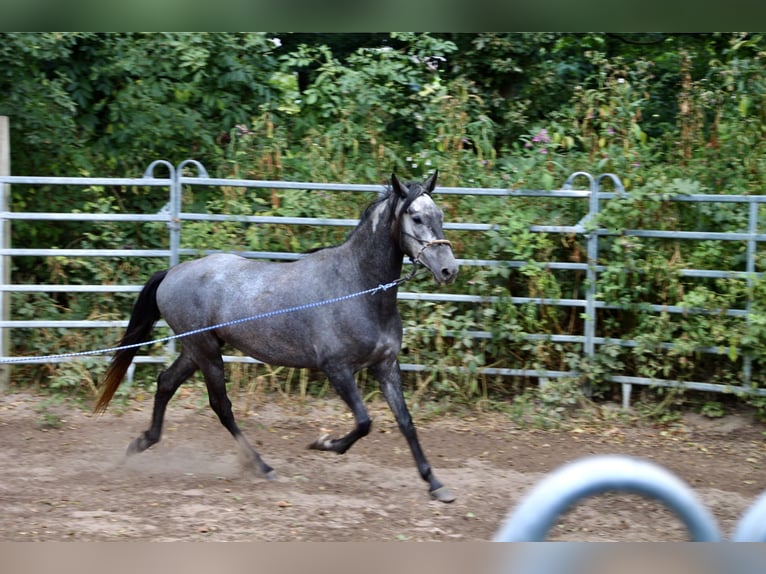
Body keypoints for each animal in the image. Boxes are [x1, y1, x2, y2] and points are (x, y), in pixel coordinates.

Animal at [94, 171, 459, 502]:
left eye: (440, 216)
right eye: (416, 217)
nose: (449, 270)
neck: (358, 288)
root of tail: (172, 272)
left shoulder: (386, 366)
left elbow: (405, 421)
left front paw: (435, 484)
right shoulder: (337, 369)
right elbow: (364, 422)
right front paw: (325, 444)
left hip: (196, 349)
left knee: (166, 383)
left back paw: (141, 443)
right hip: (206, 351)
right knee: (221, 406)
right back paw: (261, 466)